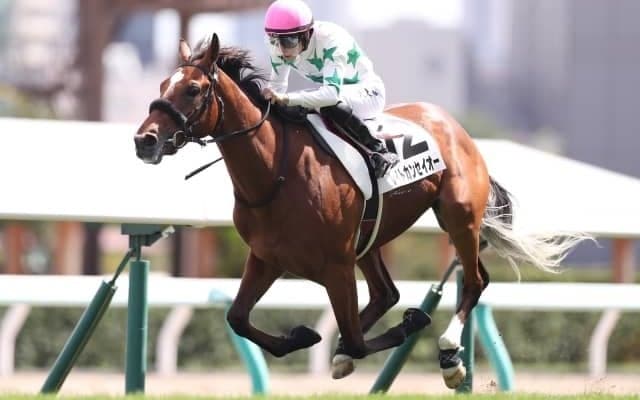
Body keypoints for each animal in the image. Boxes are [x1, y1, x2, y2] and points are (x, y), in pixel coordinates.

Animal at [134, 34, 588, 388]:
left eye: (193, 89)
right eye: (162, 83)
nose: (145, 140)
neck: (275, 174)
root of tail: (454, 125)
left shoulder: (335, 263)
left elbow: (354, 335)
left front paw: (410, 325)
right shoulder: (266, 258)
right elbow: (237, 318)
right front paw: (301, 338)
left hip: (458, 217)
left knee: (475, 281)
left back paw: (447, 354)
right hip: (371, 238)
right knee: (387, 293)